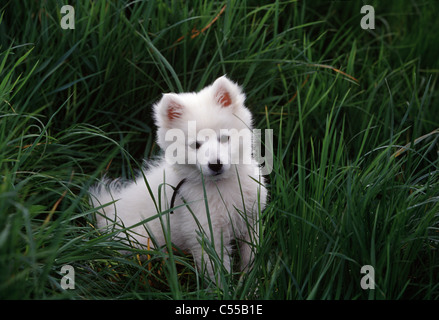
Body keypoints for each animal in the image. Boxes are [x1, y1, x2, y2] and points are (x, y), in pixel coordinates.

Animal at [89, 75, 268, 282]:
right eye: (196, 145)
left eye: (224, 138)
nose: (215, 165)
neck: (220, 186)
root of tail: (107, 213)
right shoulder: (206, 235)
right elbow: (218, 273)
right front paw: (224, 288)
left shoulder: (251, 222)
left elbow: (251, 259)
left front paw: (251, 284)